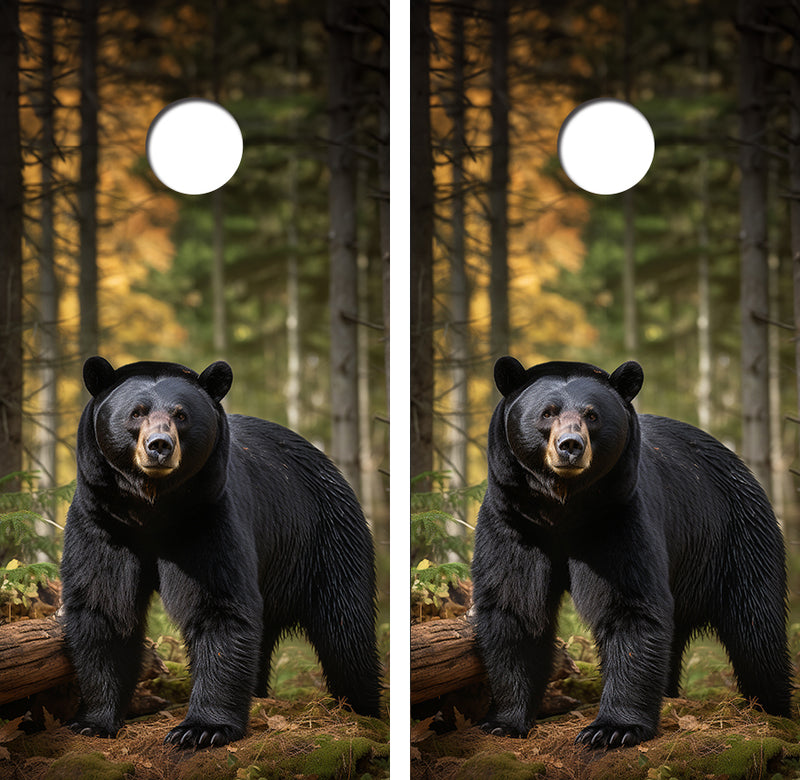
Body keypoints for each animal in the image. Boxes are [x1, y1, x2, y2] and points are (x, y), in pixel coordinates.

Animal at [60, 357, 381, 748]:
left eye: (181, 414)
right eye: (136, 412)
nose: (159, 446)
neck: (151, 509)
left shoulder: (209, 516)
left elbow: (218, 605)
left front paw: (200, 728)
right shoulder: (103, 522)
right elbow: (103, 606)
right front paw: (91, 721)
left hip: (326, 538)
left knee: (345, 629)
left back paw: (363, 708)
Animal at [471, 357, 791, 749]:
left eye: (592, 415)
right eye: (547, 412)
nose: (570, 446)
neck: (562, 508)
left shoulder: (618, 516)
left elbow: (629, 605)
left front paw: (611, 728)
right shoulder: (514, 522)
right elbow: (514, 606)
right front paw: (502, 721)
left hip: (737, 538)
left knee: (757, 630)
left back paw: (773, 709)